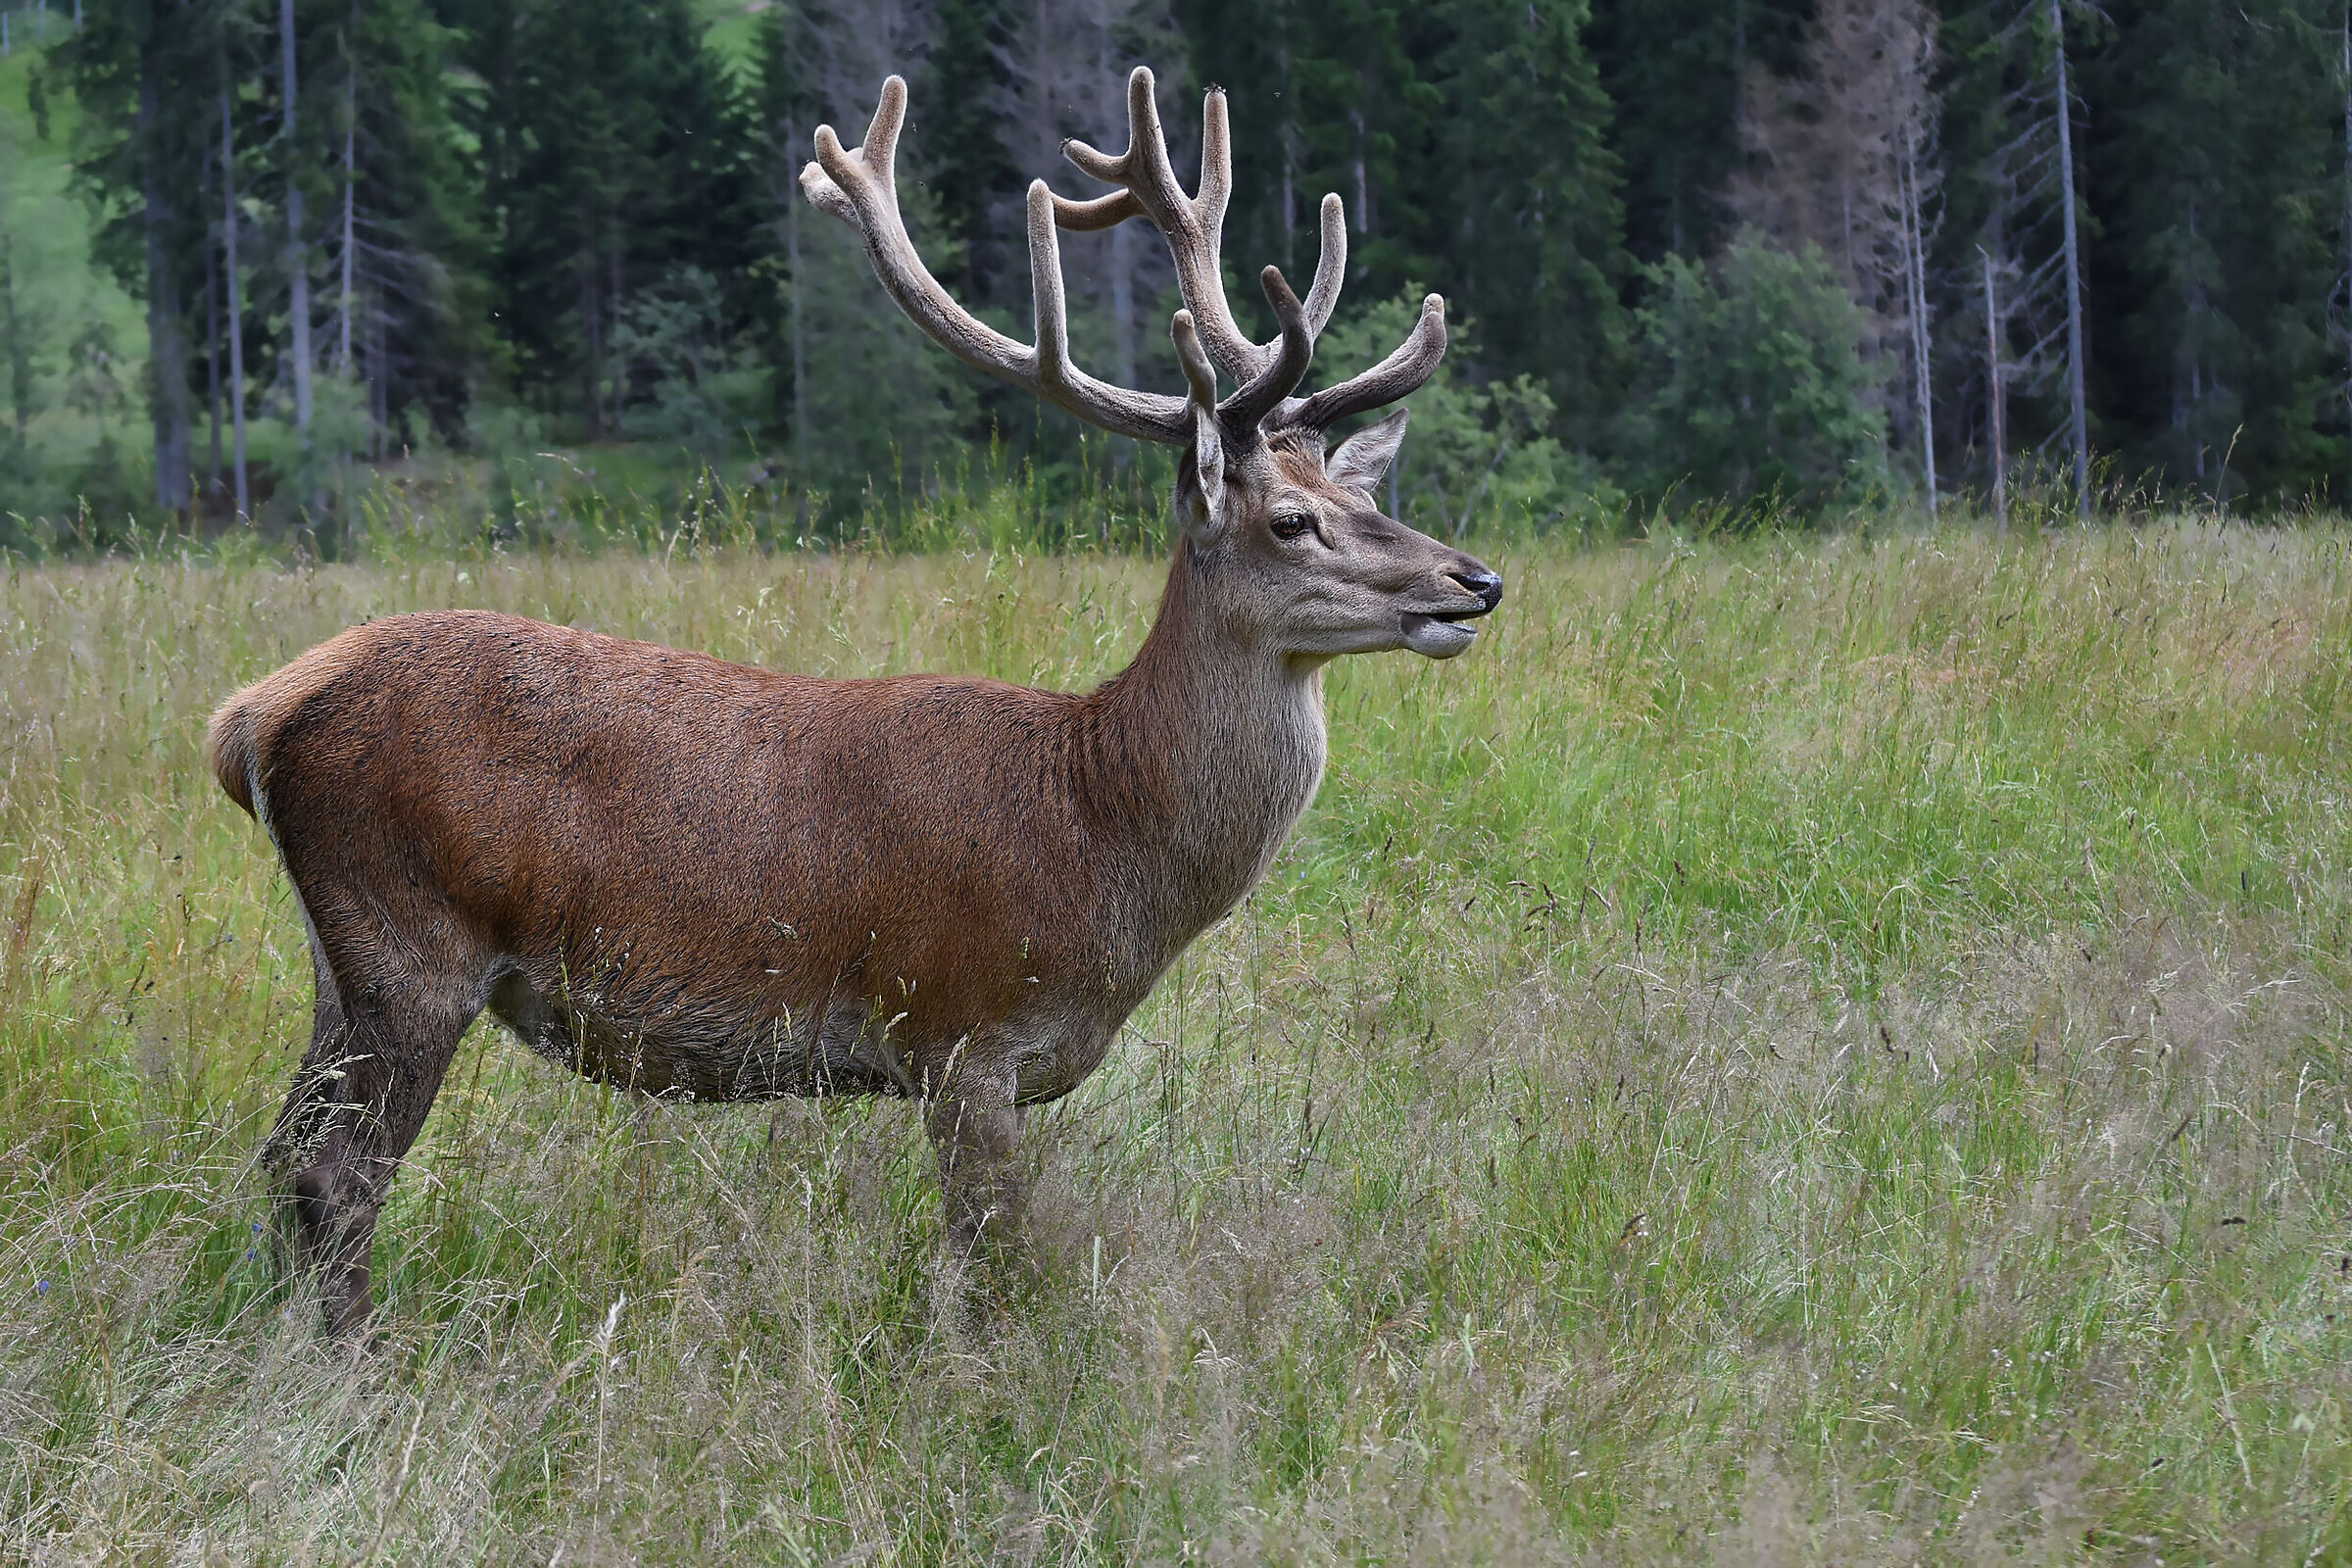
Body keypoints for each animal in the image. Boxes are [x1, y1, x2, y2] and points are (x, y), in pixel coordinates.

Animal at [207, 68, 1503, 1332]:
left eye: (1365, 497)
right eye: (1291, 520)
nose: (1475, 580)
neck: (1103, 832)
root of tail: (251, 718)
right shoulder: (961, 1029)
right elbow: (985, 1273)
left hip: (340, 959)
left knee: (278, 1156)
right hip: (407, 935)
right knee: (336, 1172)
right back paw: (355, 1362)